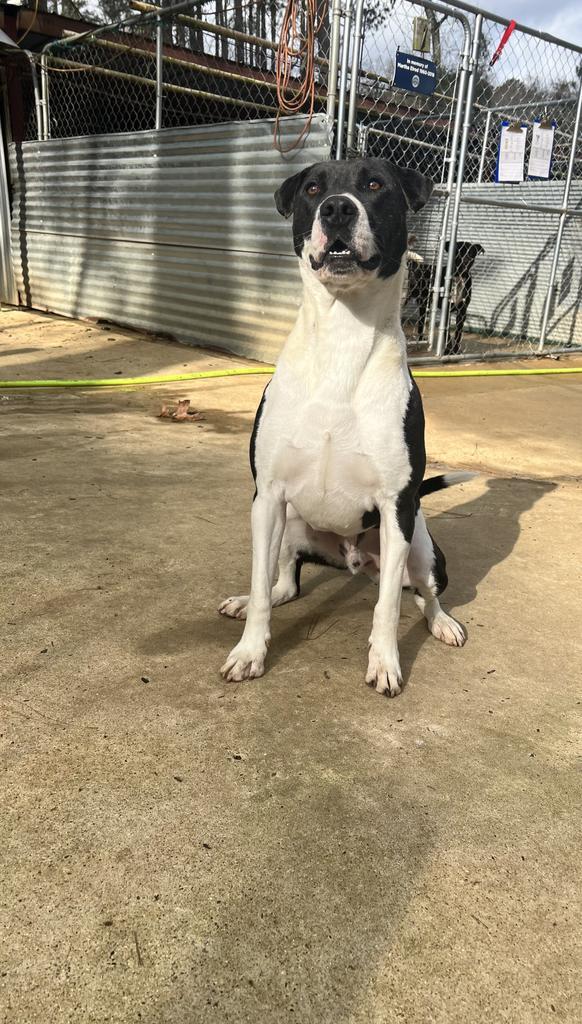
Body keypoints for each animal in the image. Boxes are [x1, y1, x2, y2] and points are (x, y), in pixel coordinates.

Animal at [218, 159, 469, 696]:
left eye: (375, 185)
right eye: (313, 189)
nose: (336, 208)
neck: (342, 338)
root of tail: (354, 559)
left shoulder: (396, 506)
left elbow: (388, 606)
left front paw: (386, 663)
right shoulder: (267, 497)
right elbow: (261, 582)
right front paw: (250, 651)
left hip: (419, 545)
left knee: (424, 593)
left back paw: (442, 623)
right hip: (291, 523)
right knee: (284, 583)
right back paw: (249, 603)